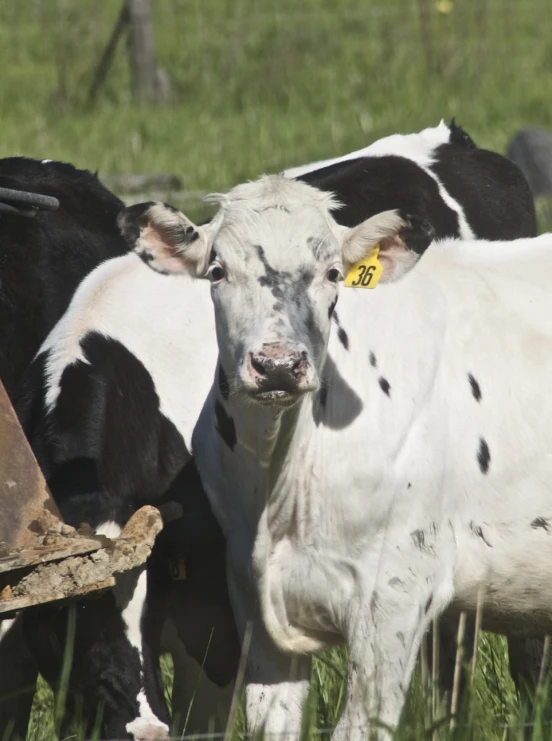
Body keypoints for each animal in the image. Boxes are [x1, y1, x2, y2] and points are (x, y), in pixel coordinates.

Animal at [123, 179, 552, 740]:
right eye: (217, 271)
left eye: (332, 273)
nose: (278, 364)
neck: (281, 493)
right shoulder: (254, 601)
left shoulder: (394, 597)